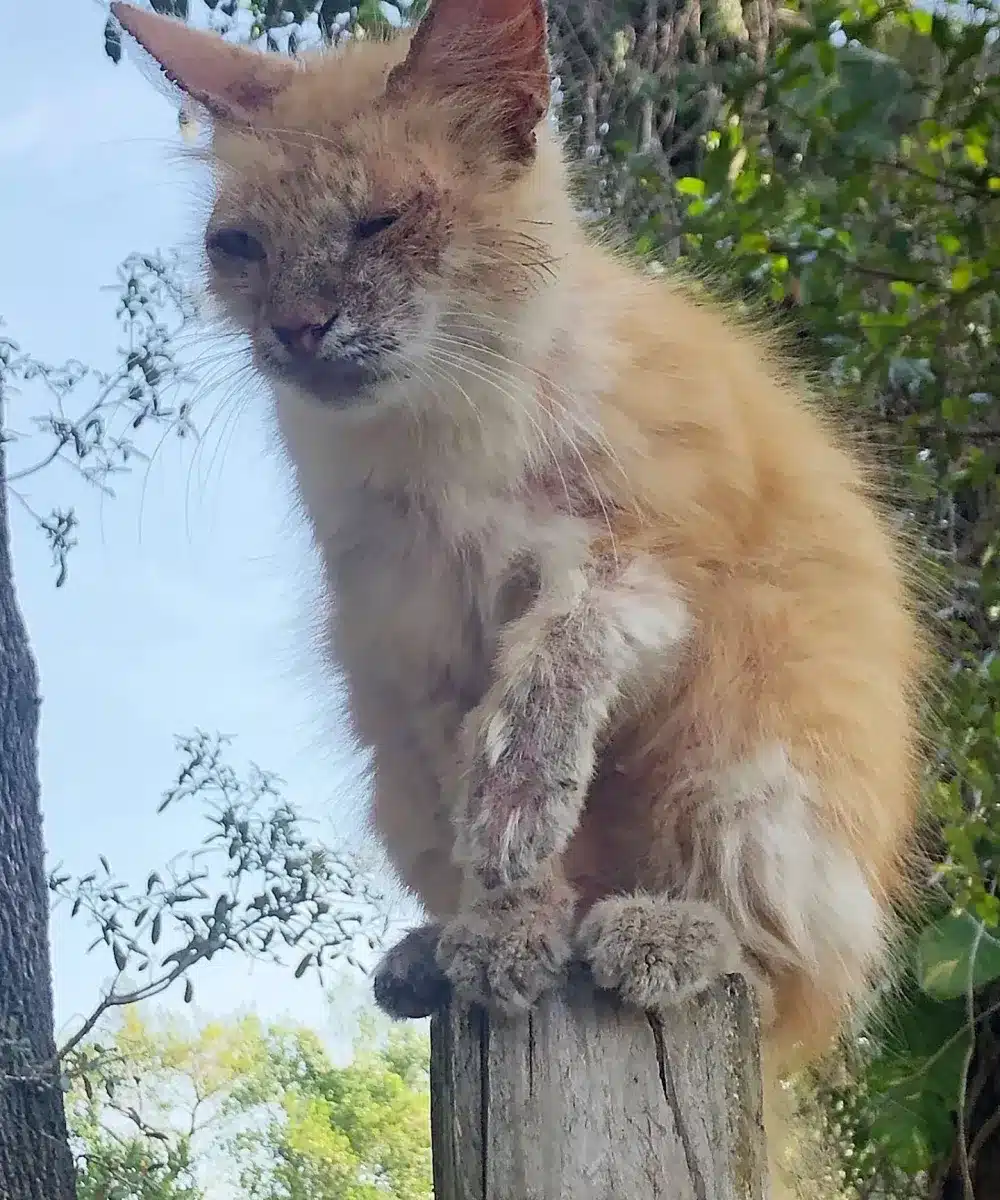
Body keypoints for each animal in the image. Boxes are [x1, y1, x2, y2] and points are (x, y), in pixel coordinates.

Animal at [112, 0, 926, 1180]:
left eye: (381, 221)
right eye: (240, 246)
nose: (296, 330)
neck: (443, 442)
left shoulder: (648, 564)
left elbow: (556, 671)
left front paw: (518, 813)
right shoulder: (420, 646)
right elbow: (509, 846)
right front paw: (507, 936)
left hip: (753, 767)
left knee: (779, 972)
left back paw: (656, 935)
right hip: (395, 782)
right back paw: (440, 956)